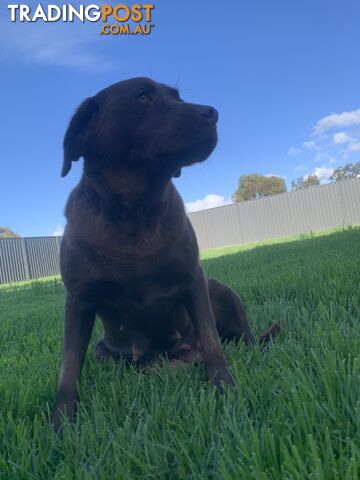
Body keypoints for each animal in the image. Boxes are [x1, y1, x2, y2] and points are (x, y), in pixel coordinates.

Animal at [52, 78, 278, 432]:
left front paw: (225, 389)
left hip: (221, 290)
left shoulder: (194, 280)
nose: (212, 112)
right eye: (143, 97)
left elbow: (213, 343)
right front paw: (61, 422)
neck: (133, 210)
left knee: (245, 340)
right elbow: (69, 366)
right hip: (106, 350)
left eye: (178, 97)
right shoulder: (78, 300)